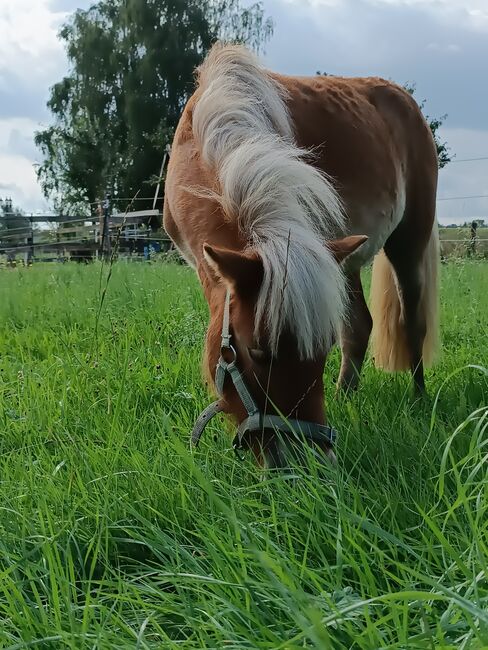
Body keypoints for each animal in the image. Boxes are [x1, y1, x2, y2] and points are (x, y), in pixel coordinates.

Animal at [163, 43, 438, 466]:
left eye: (320, 350)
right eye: (256, 351)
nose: (306, 460)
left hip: (408, 241)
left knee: (413, 322)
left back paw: (420, 398)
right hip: (344, 261)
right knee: (359, 327)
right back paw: (345, 398)